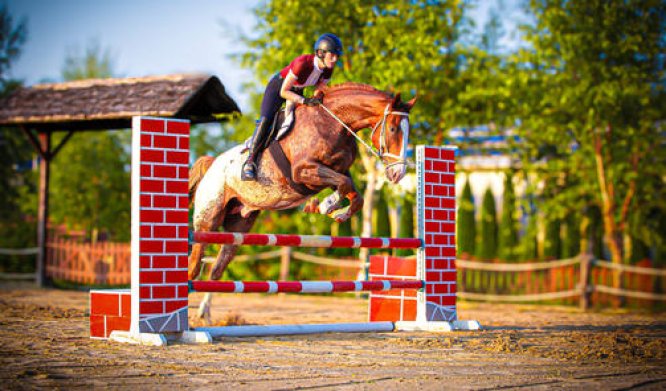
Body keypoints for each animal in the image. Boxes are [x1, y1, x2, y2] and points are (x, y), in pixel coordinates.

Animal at [188, 82, 416, 282]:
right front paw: (325, 206)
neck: (333, 123)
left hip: (238, 227)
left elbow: (353, 193)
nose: (398, 173)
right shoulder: (303, 171)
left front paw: (332, 211)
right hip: (208, 219)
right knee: (194, 264)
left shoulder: (333, 172)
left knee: (217, 268)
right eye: (394, 129)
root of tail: (211, 164)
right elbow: (344, 184)